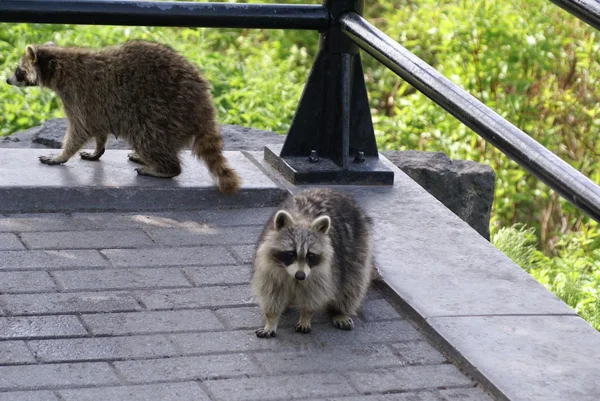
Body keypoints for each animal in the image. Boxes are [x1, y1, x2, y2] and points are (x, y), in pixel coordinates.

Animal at [5, 39, 239, 193]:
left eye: (18, 71)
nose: (7, 80)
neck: (60, 65)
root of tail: (203, 104)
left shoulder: (78, 95)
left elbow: (80, 129)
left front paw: (61, 155)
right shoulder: (97, 106)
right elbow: (98, 127)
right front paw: (98, 149)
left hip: (163, 110)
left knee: (147, 136)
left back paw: (165, 168)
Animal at [250, 186, 376, 336]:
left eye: (310, 255)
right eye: (291, 253)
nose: (300, 276)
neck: (302, 219)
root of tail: (329, 189)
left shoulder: (323, 270)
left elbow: (315, 292)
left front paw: (306, 315)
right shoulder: (269, 265)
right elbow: (271, 292)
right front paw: (271, 319)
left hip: (357, 246)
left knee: (353, 282)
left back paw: (341, 311)